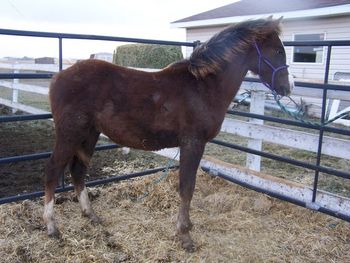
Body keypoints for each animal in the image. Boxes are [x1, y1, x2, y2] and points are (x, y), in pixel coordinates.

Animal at [43, 17, 292, 253]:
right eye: (278, 51)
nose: (287, 88)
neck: (202, 86)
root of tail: (57, 78)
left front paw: (185, 228)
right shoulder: (193, 143)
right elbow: (187, 187)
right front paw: (185, 235)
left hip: (89, 134)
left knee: (78, 170)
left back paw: (91, 215)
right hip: (70, 134)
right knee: (53, 170)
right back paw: (52, 226)